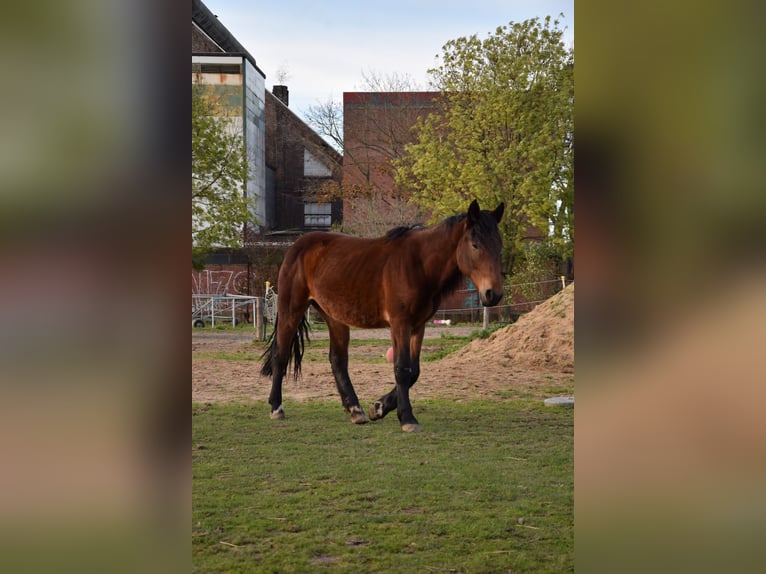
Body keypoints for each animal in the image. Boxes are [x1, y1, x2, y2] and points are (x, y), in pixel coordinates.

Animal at [260, 200, 508, 434]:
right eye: (475, 245)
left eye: (499, 246)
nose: (493, 294)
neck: (419, 265)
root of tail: (297, 246)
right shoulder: (400, 324)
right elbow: (401, 368)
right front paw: (407, 418)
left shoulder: (418, 326)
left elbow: (414, 371)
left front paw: (379, 407)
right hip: (291, 310)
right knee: (281, 356)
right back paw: (276, 407)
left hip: (334, 318)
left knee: (338, 360)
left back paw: (356, 410)